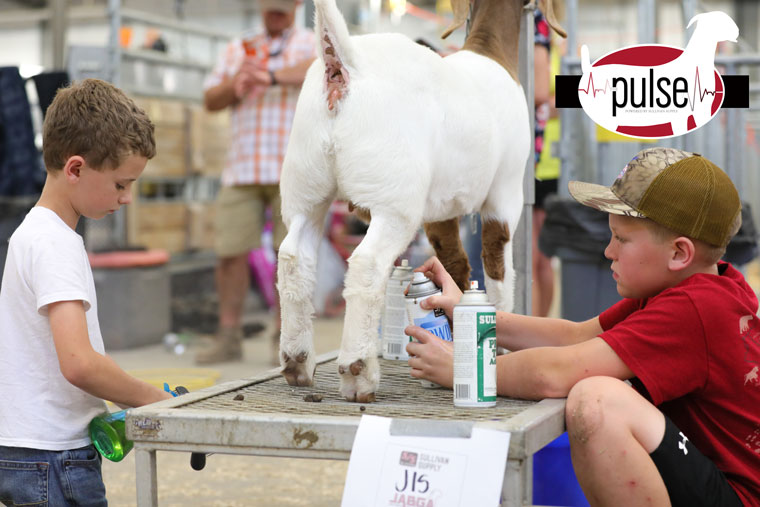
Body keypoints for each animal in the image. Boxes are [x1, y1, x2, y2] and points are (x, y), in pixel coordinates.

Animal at [280, 0, 564, 402]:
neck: (491, 53)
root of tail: (344, 66)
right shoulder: (505, 196)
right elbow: (497, 269)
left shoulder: (440, 212)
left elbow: (456, 265)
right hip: (394, 199)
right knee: (367, 264)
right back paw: (359, 372)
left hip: (306, 188)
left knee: (294, 256)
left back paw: (297, 361)